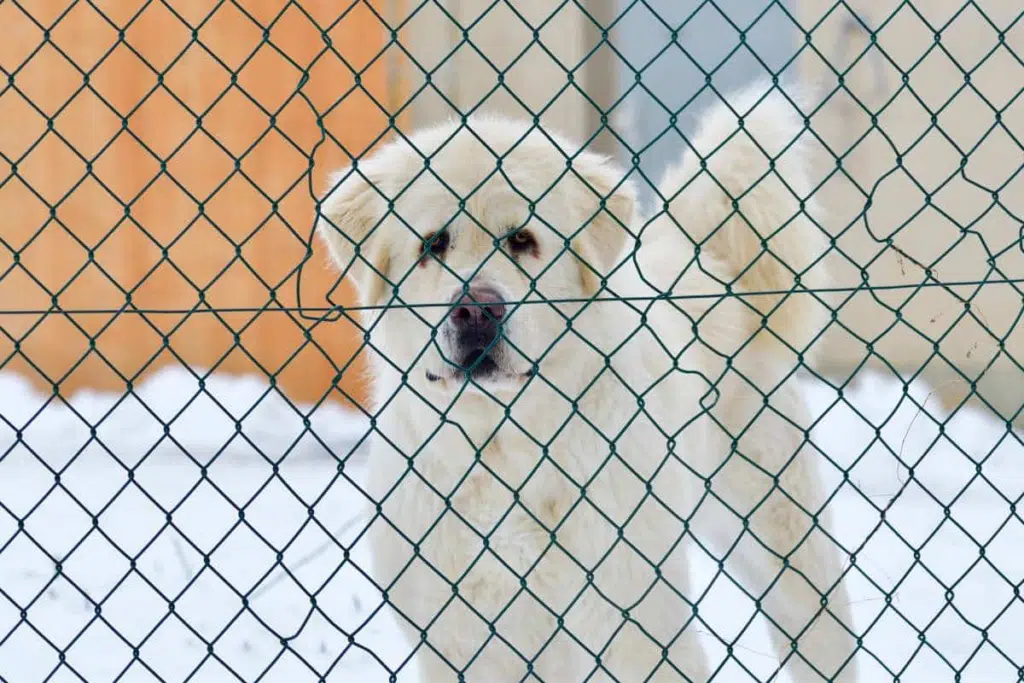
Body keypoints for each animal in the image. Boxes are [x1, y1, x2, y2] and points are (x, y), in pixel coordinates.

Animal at [317, 84, 859, 682]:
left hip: (779, 539)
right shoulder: (466, 642)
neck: (501, 443)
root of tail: (706, 261)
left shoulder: (630, 625)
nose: (477, 311)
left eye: (523, 239)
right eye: (433, 244)